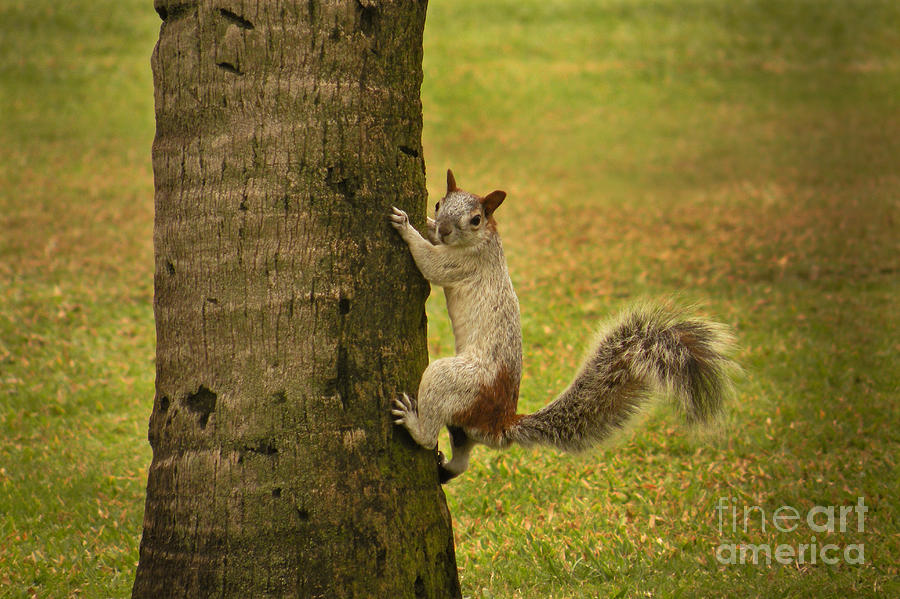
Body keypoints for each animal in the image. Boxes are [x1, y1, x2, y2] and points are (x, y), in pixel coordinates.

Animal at [390, 169, 736, 482]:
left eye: (476, 219)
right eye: (439, 203)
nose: (445, 230)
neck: (486, 239)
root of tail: (499, 423)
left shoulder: (463, 263)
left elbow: (432, 264)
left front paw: (407, 227)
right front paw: (427, 224)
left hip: (457, 381)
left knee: (430, 435)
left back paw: (413, 422)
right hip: (463, 422)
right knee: (462, 454)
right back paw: (448, 468)